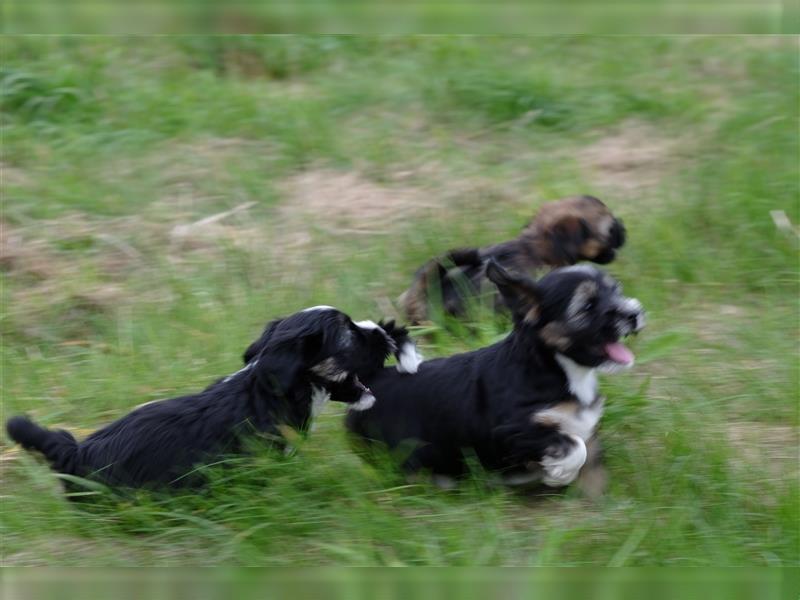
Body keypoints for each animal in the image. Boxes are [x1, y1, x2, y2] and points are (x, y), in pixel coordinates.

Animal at [346, 262, 644, 492]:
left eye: (616, 291)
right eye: (587, 307)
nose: (634, 313)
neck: (558, 368)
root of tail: (373, 377)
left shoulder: (585, 422)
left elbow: (591, 454)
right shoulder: (512, 432)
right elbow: (574, 445)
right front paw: (560, 474)